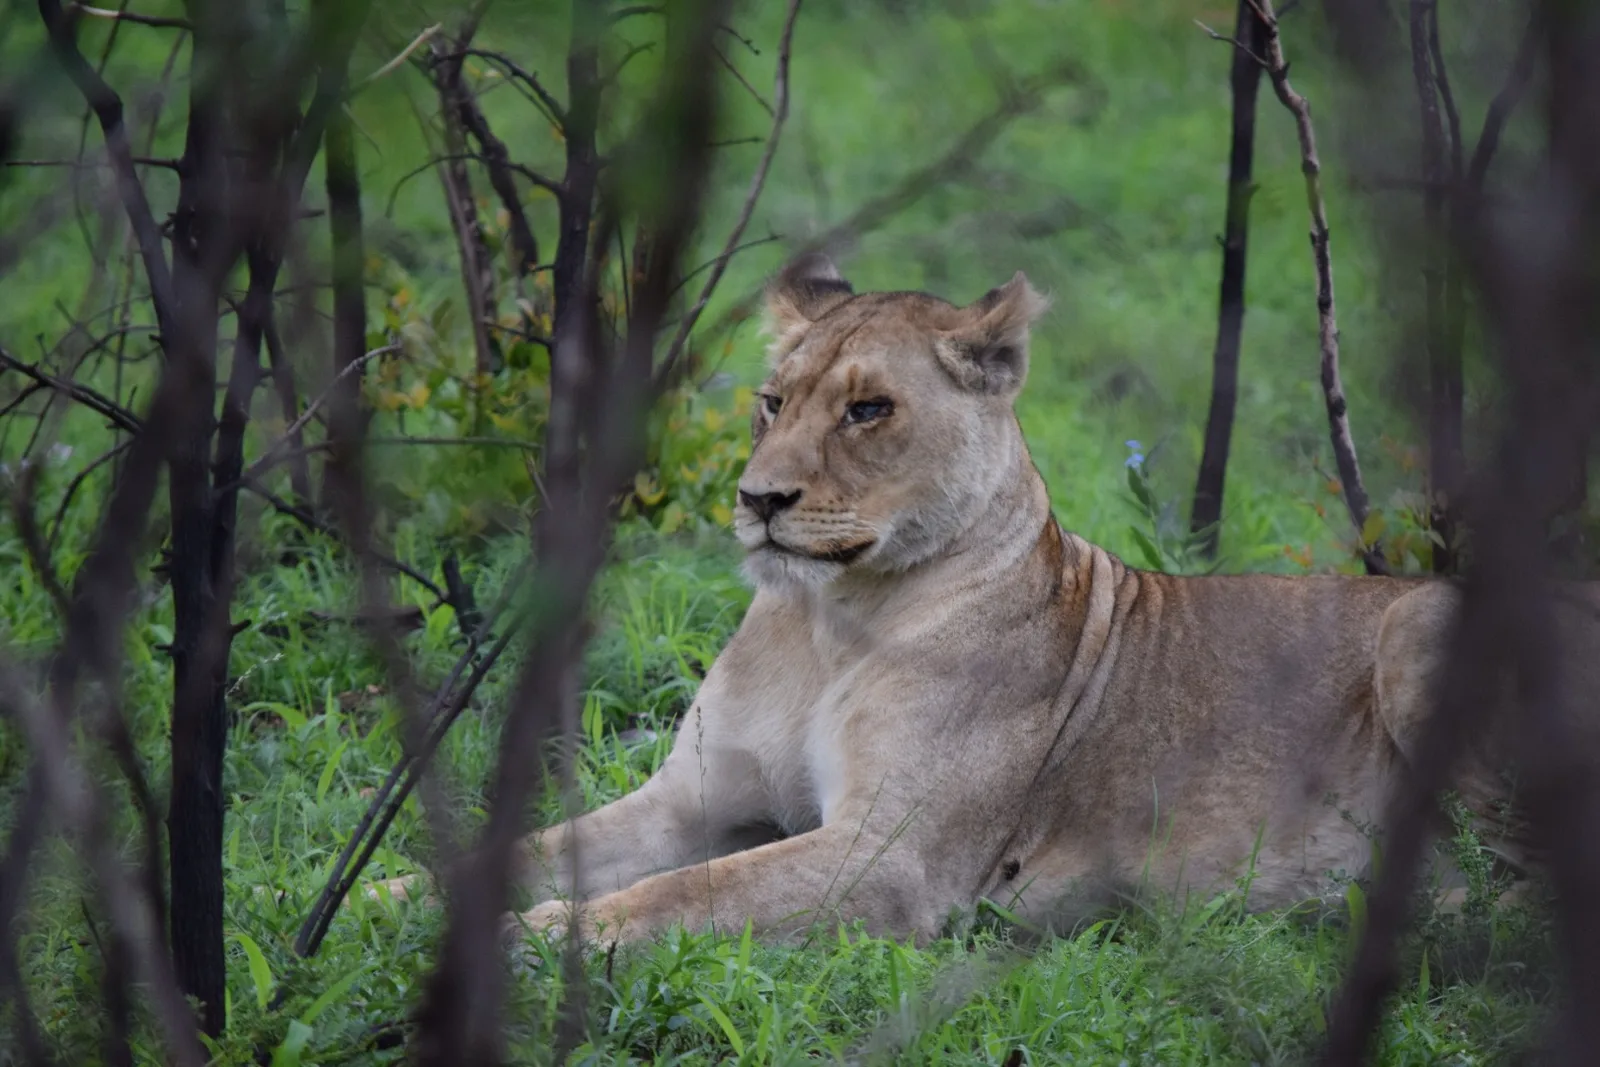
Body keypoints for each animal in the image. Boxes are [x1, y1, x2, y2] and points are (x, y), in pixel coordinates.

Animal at [392, 256, 1590, 948]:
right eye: (773, 401)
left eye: (868, 409)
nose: (758, 499)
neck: (826, 622)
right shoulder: (690, 800)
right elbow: (516, 849)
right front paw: (384, 896)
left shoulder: (891, 857)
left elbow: (683, 896)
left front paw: (537, 938)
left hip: (1417, 627)